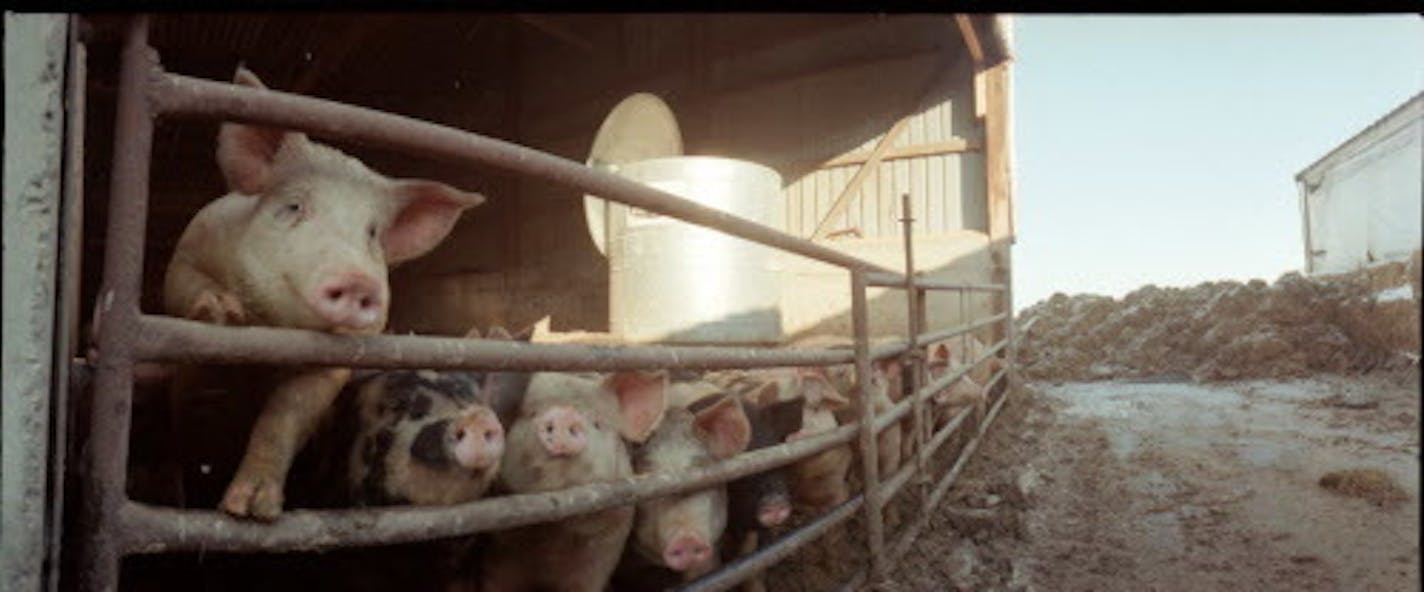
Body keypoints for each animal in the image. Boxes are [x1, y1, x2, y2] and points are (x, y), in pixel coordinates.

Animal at [160, 65, 484, 518]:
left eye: (372, 232)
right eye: (295, 207)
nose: (358, 279)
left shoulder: (333, 365)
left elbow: (287, 414)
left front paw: (252, 510)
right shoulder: (189, 249)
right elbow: (182, 286)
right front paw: (223, 311)